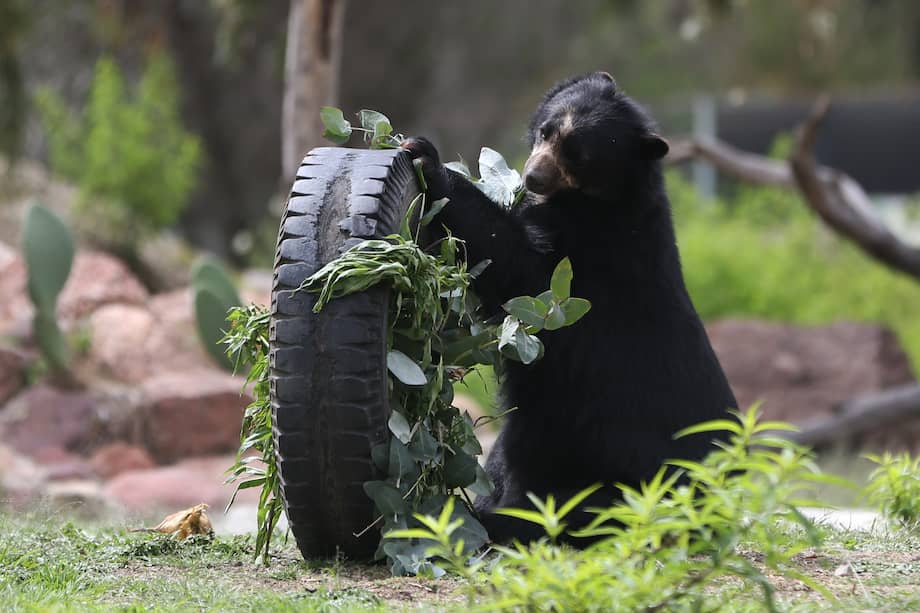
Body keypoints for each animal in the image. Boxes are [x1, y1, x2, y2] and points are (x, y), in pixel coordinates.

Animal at [401, 71, 737, 546]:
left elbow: (515, 266)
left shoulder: (586, 257)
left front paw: (428, 159)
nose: (533, 176)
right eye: (546, 131)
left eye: (579, 154)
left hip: (622, 465)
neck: (596, 199)